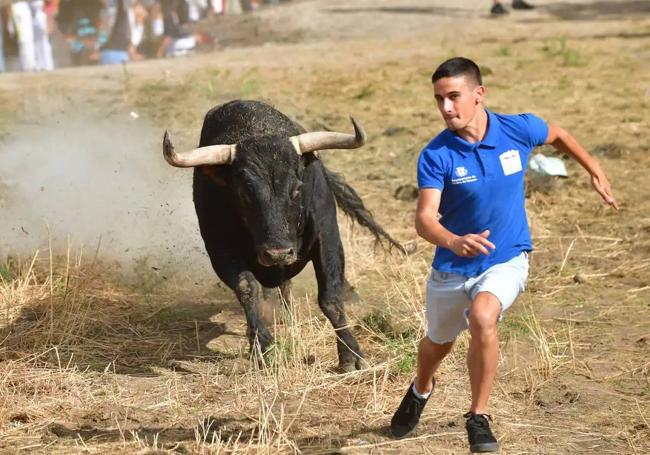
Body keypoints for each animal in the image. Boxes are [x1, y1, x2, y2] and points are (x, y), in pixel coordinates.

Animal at [163, 99, 400, 370]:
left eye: (297, 188)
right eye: (244, 192)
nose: (277, 253)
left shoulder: (327, 236)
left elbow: (330, 297)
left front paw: (351, 355)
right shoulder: (219, 249)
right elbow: (247, 288)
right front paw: (264, 346)